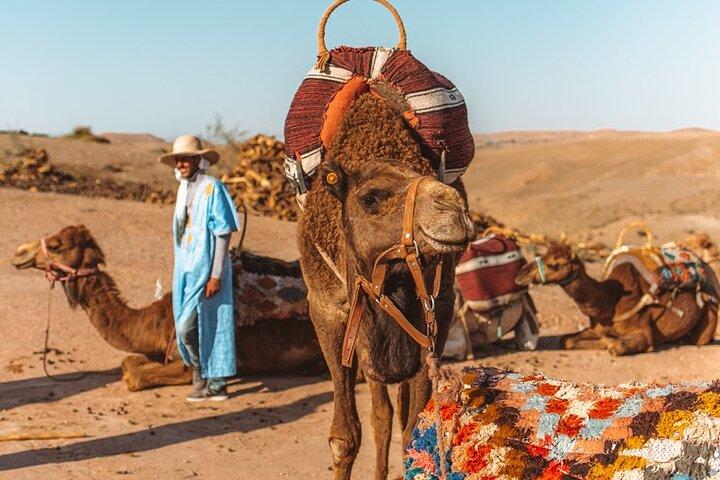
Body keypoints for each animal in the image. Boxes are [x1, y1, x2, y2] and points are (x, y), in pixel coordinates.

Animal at [12, 225, 324, 390]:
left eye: (56, 245)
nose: (18, 252)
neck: (157, 321)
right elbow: (129, 361)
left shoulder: (192, 363)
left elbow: (135, 375)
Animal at [296, 95, 474, 479]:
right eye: (371, 198)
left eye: (430, 176)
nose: (455, 210)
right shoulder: (326, 311)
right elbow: (345, 437)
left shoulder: (439, 307)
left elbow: (414, 433)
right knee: (381, 413)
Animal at [515, 242, 718, 355]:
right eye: (542, 255)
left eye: (554, 265)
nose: (521, 274)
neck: (609, 301)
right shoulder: (597, 326)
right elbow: (566, 341)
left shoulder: (643, 331)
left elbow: (616, 347)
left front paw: (610, 342)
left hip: (710, 311)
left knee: (700, 338)